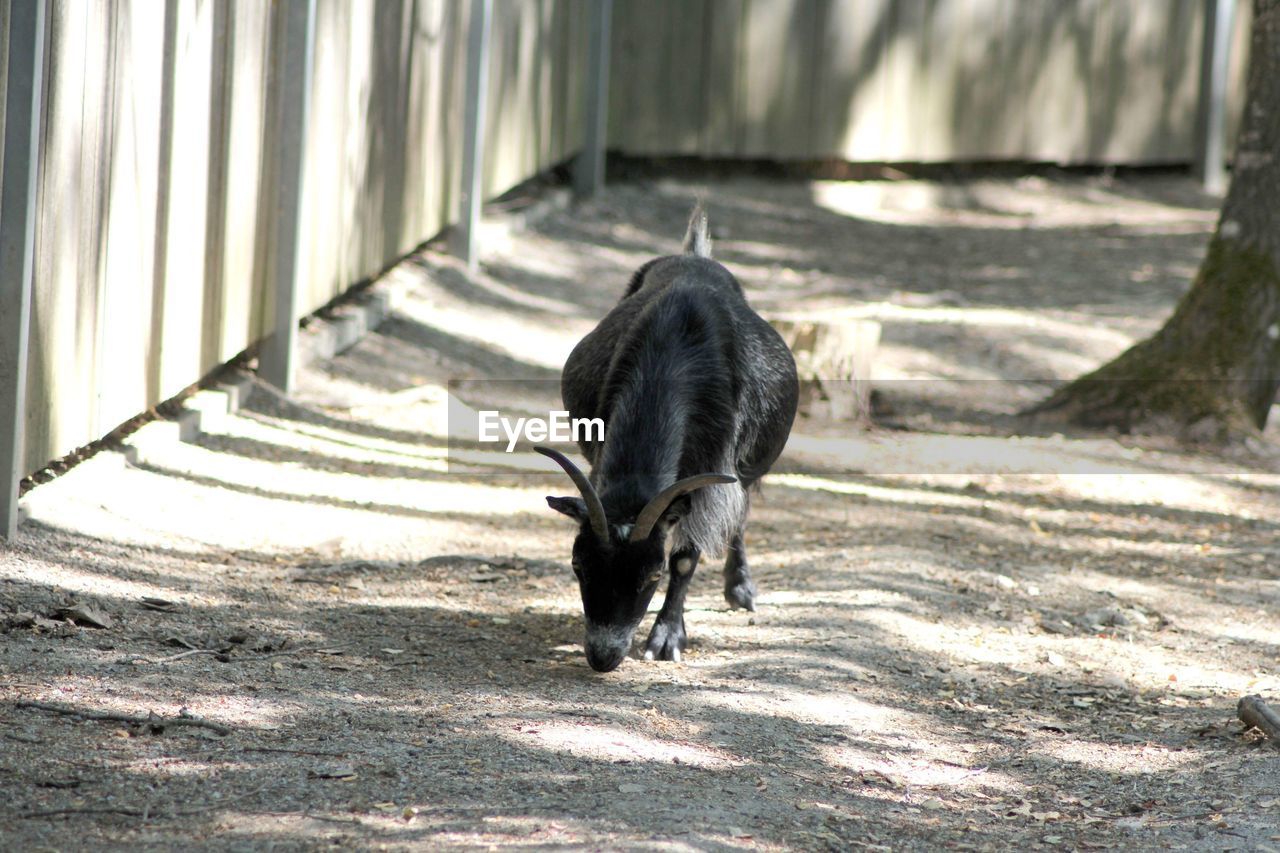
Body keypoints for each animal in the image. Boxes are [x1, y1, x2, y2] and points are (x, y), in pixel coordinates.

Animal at [535, 206, 793, 671]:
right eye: (578, 565)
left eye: (652, 575)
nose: (603, 657)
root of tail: (695, 253)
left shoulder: (712, 470)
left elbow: (687, 556)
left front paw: (667, 637)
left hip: (747, 469)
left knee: (739, 515)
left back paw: (740, 589)